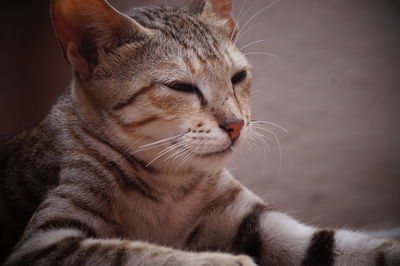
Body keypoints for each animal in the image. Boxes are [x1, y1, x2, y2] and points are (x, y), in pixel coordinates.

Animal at [0, 0, 400, 264]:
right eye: (181, 87)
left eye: (238, 76)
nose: (236, 124)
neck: (168, 186)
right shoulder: (45, 244)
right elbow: (135, 252)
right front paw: (227, 261)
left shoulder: (257, 221)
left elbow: (347, 245)